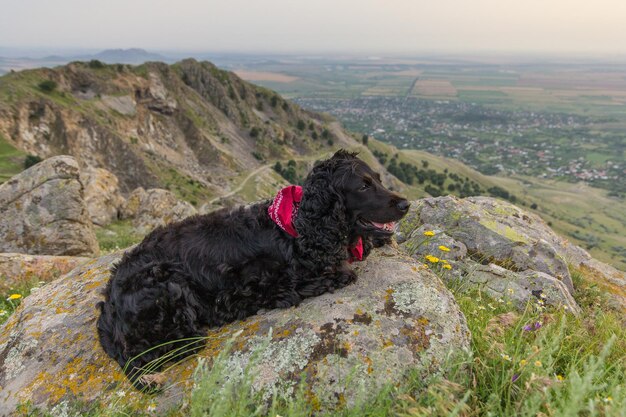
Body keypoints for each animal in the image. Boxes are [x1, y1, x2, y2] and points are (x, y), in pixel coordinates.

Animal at [96, 150, 410, 386]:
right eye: (363, 186)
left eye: (378, 179)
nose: (405, 204)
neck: (298, 225)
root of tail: (109, 305)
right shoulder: (269, 280)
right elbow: (334, 272)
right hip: (167, 284)